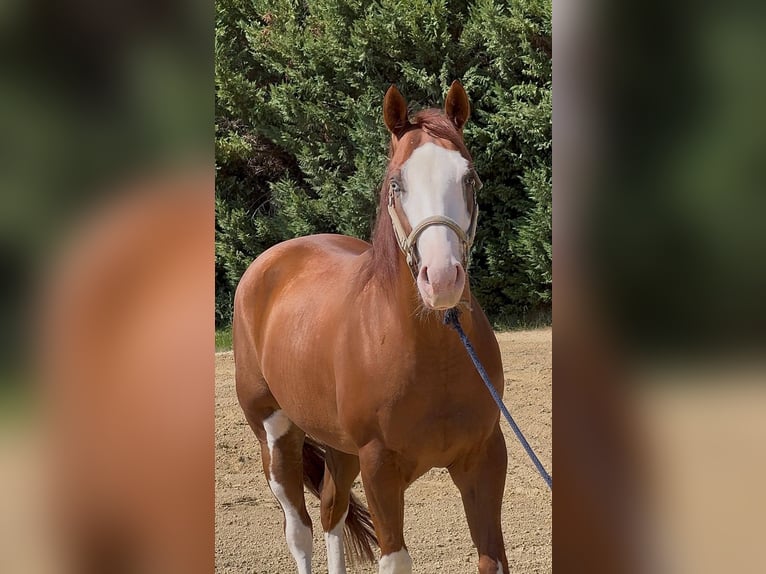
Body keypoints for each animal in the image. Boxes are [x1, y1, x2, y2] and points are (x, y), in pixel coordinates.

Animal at [234, 81, 508, 574]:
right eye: (396, 183)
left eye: (469, 178)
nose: (442, 279)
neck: (433, 354)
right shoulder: (380, 469)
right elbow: (393, 560)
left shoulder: (485, 458)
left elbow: (492, 559)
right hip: (275, 436)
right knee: (300, 530)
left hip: (340, 450)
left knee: (332, 511)